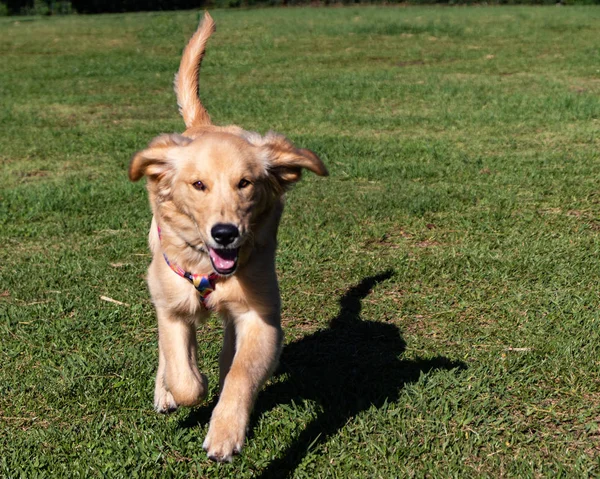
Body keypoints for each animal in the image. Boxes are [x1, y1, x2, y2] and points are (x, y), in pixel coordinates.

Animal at [126, 13, 328, 464]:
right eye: (198, 184)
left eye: (245, 183)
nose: (225, 233)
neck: (208, 270)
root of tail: (204, 126)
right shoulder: (172, 304)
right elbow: (184, 375)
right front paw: (182, 388)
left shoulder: (262, 317)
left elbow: (239, 373)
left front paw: (225, 432)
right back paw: (166, 389)